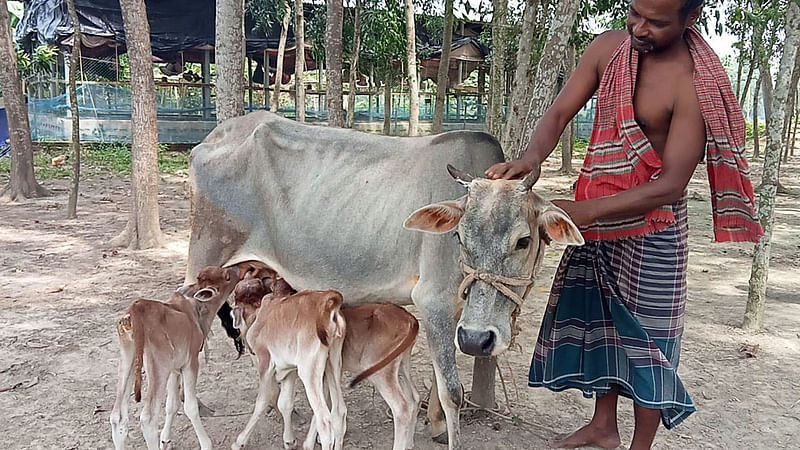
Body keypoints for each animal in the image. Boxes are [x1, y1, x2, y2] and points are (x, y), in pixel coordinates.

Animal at [109, 266, 241, 450]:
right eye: (227, 277)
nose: (238, 270)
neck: (195, 310)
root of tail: (135, 311)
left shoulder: (174, 368)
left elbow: (172, 404)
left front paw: (166, 440)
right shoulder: (190, 362)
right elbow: (190, 407)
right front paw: (206, 443)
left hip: (128, 359)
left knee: (117, 416)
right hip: (158, 366)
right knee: (148, 418)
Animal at [230, 288, 346, 450]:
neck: (261, 314)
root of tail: (328, 302)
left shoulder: (265, 363)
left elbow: (262, 401)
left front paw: (240, 441)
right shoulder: (289, 370)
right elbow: (285, 403)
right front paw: (289, 441)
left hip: (309, 371)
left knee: (324, 420)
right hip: (333, 363)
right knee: (339, 412)